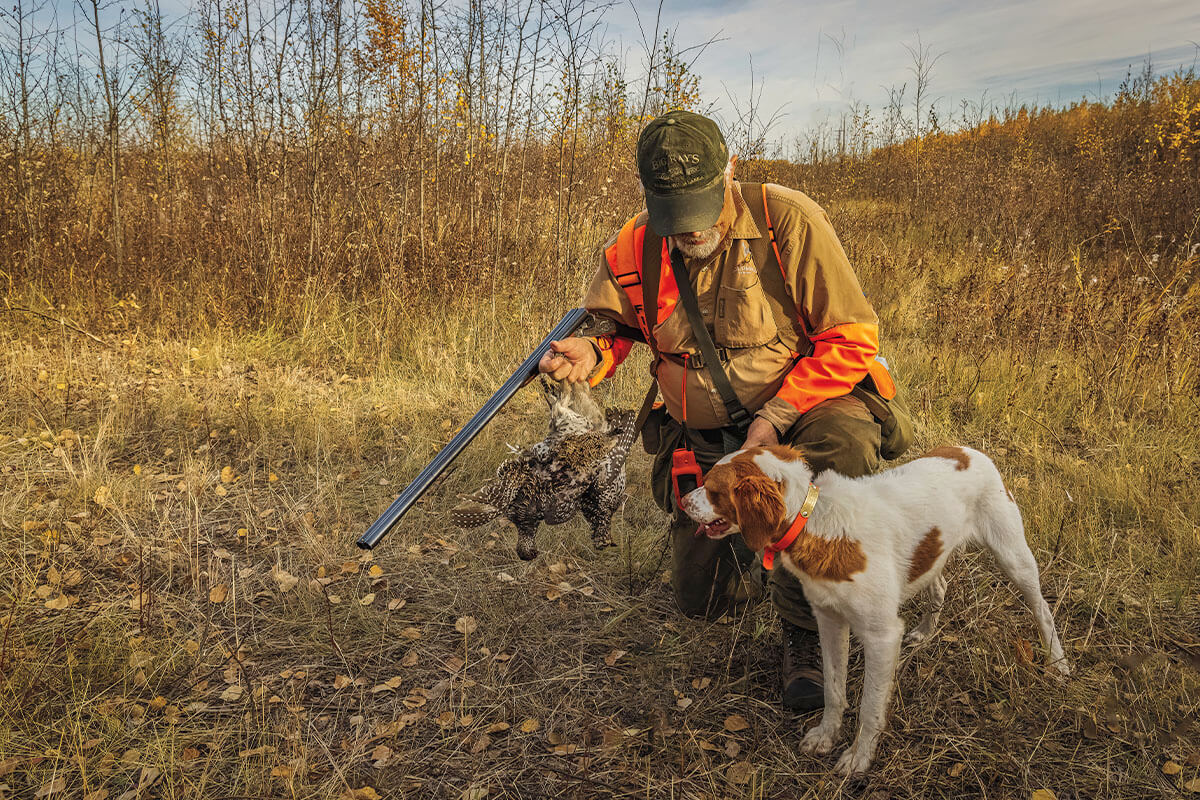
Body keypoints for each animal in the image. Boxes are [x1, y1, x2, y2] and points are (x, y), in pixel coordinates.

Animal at [681, 443, 1075, 777]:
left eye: (713, 488)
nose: (683, 499)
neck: (814, 521)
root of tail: (969, 451)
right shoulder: (828, 619)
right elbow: (833, 689)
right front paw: (826, 735)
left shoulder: (882, 635)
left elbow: (870, 706)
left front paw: (858, 757)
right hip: (930, 557)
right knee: (940, 587)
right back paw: (925, 633)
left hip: (1013, 556)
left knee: (1042, 608)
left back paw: (1057, 663)